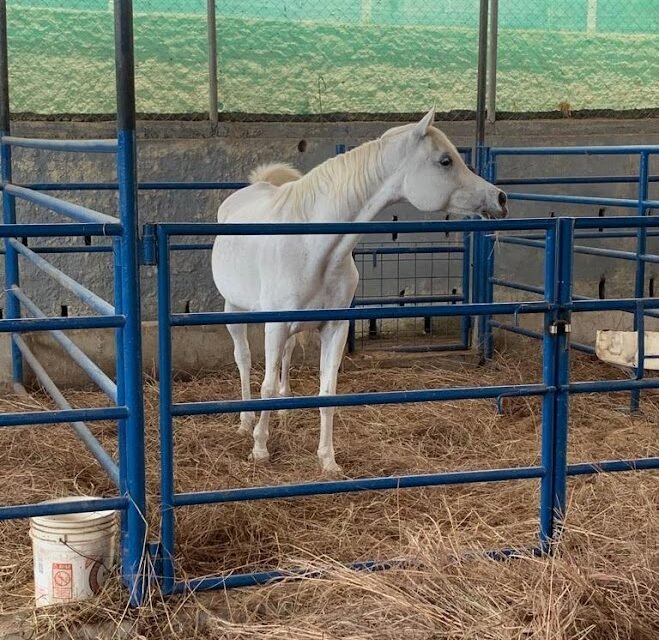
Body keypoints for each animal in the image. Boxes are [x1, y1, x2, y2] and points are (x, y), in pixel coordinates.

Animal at [211, 108, 508, 474]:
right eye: (445, 161)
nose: (500, 198)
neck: (311, 247)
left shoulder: (333, 328)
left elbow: (328, 393)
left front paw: (328, 461)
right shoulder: (275, 325)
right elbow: (264, 386)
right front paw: (260, 449)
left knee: (286, 357)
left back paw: (283, 413)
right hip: (234, 311)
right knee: (243, 360)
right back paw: (245, 423)